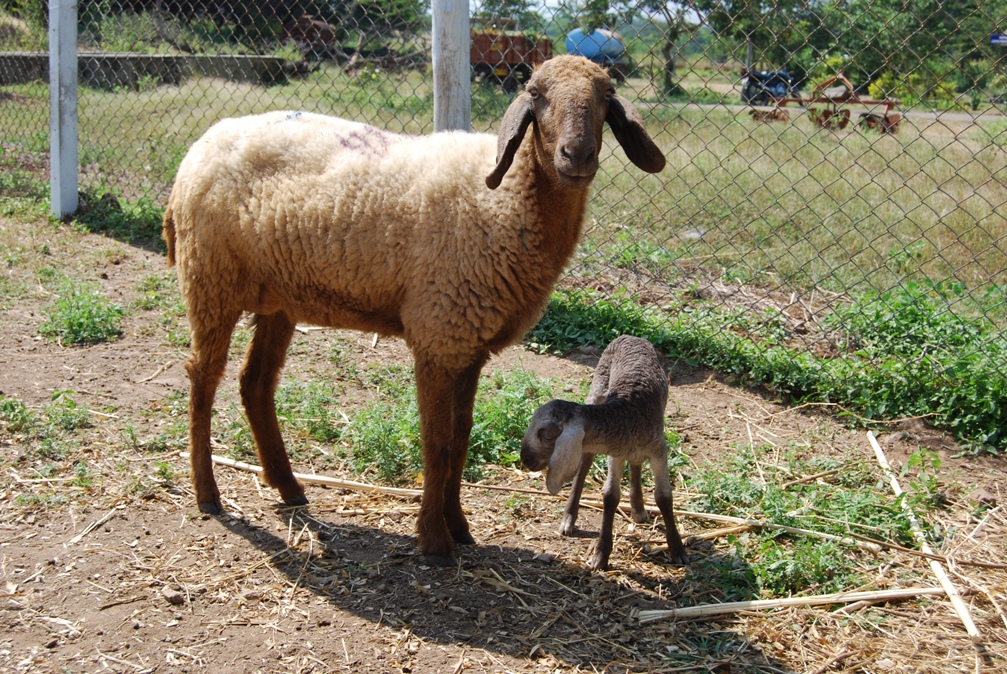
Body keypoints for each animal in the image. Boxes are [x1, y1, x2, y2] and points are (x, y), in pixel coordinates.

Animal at [161, 55, 666, 566]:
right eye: (536, 94)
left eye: (606, 97)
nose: (577, 155)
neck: (506, 200)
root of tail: (200, 146)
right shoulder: (438, 335)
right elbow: (436, 443)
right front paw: (435, 539)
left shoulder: (468, 344)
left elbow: (461, 441)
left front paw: (459, 526)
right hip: (211, 280)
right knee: (203, 379)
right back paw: (208, 493)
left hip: (279, 296)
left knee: (255, 383)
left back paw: (288, 486)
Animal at [521, 335, 688, 571]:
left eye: (546, 435)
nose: (525, 458)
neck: (628, 414)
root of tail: (629, 336)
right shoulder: (615, 452)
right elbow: (610, 496)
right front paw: (601, 555)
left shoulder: (658, 450)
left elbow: (664, 497)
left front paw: (677, 550)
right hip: (597, 391)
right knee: (585, 464)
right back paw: (569, 518)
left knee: (635, 463)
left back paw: (638, 508)